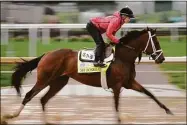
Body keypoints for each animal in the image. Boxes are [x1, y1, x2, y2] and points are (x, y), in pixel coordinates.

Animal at [2, 26, 173, 123]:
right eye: (156, 42)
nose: (162, 58)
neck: (123, 57)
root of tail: (46, 54)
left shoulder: (129, 83)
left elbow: (150, 93)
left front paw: (168, 110)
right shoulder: (117, 86)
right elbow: (116, 105)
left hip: (59, 82)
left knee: (43, 100)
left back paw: (47, 121)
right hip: (44, 79)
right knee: (29, 95)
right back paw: (11, 115)